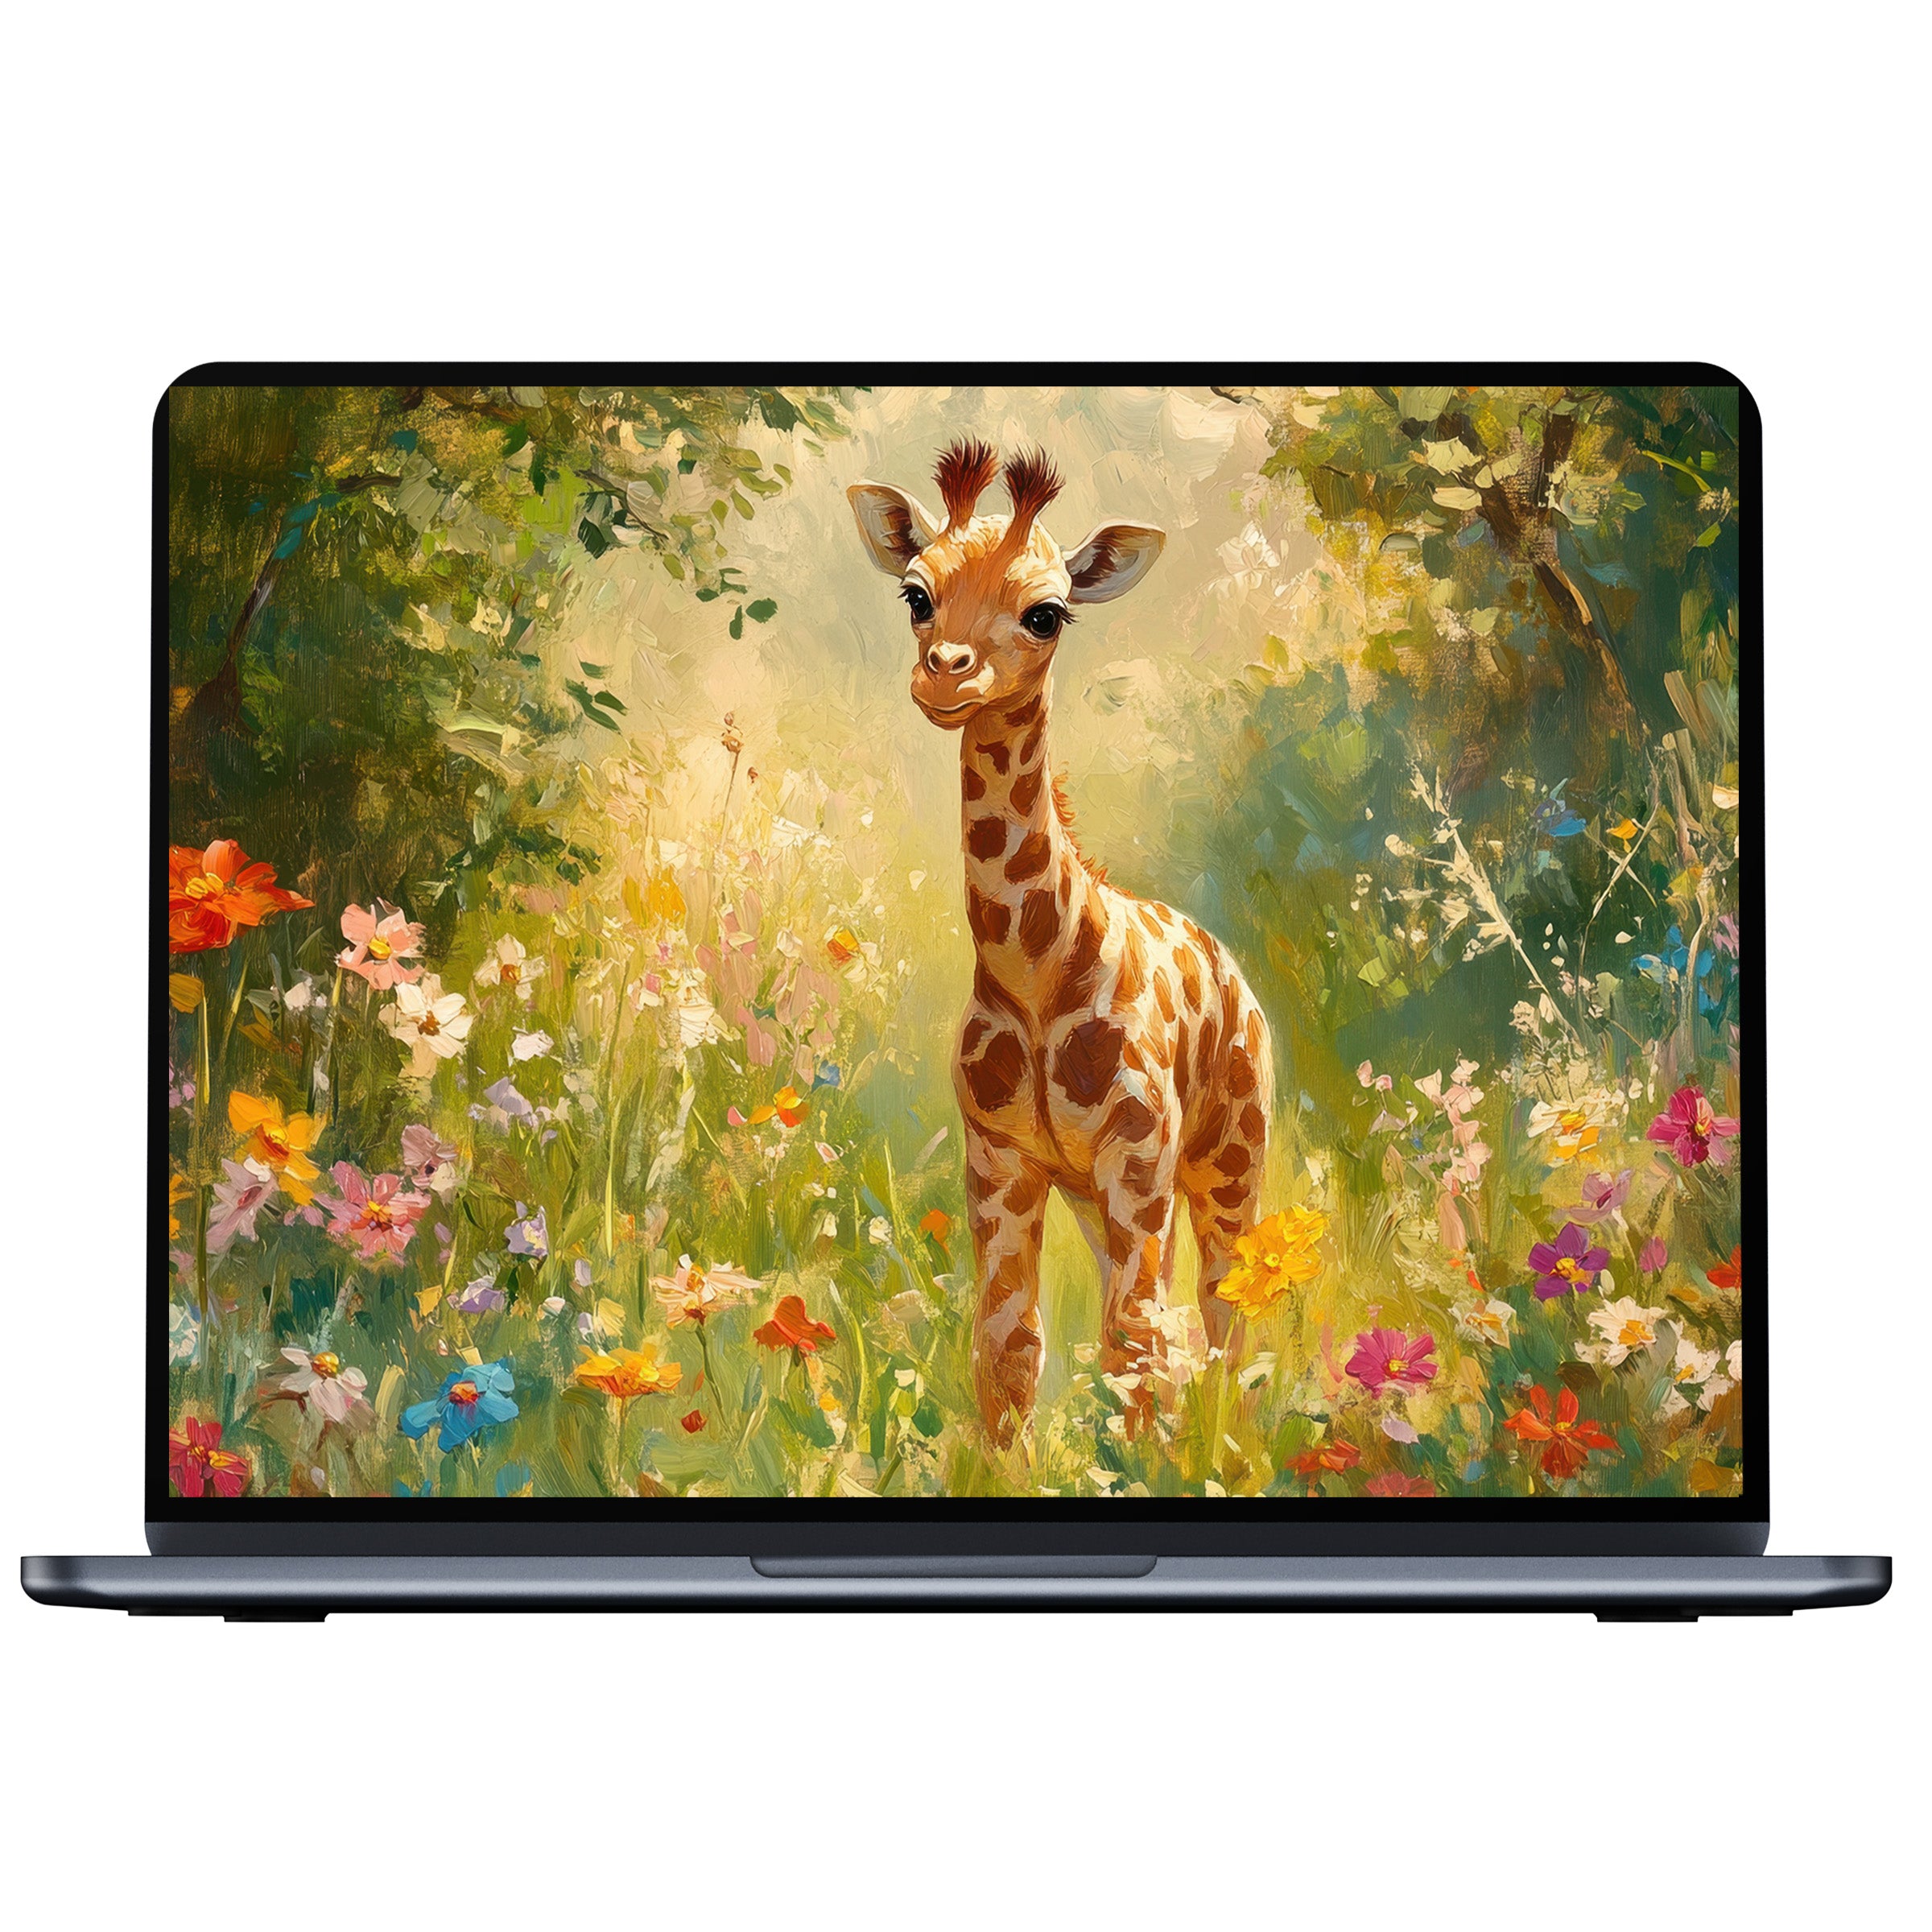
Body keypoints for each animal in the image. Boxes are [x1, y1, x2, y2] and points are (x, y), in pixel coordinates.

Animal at [849, 440, 1274, 1446]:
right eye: (916, 594)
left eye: (1047, 614)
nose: (944, 675)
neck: (1036, 975)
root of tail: (1236, 972)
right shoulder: (1002, 1160)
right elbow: (1010, 1349)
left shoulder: (1139, 1154)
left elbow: (1130, 1343)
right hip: (1103, 1193)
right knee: (1182, 1330)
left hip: (1228, 1162)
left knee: (1221, 1317)